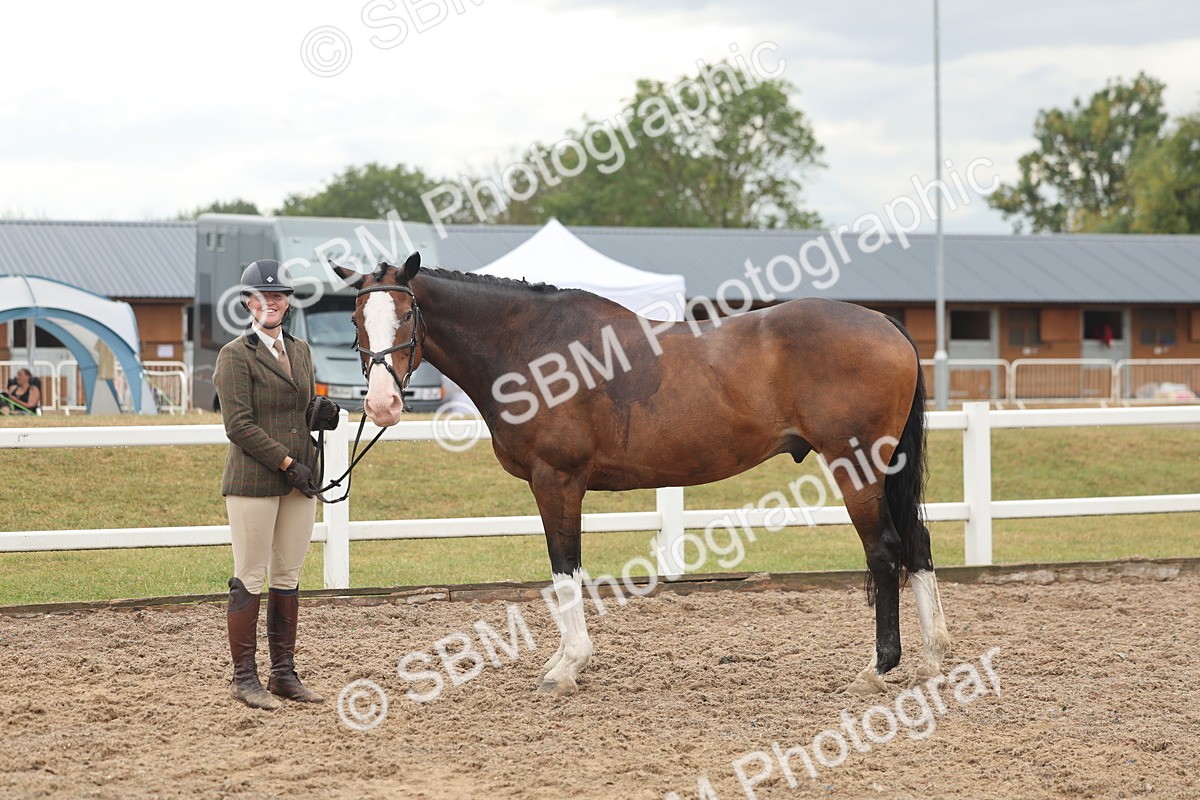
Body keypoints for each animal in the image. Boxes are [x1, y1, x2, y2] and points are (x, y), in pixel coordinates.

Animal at [333, 253, 951, 696]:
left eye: (407, 314)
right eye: (357, 320)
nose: (383, 404)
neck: (532, 346)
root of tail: (884, 322)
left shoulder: (556, 480)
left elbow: (565, 569)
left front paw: (566, 668)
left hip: (857, 464)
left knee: (884, 549)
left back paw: (878, 667)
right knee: (917, 542)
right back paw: (932, 657)